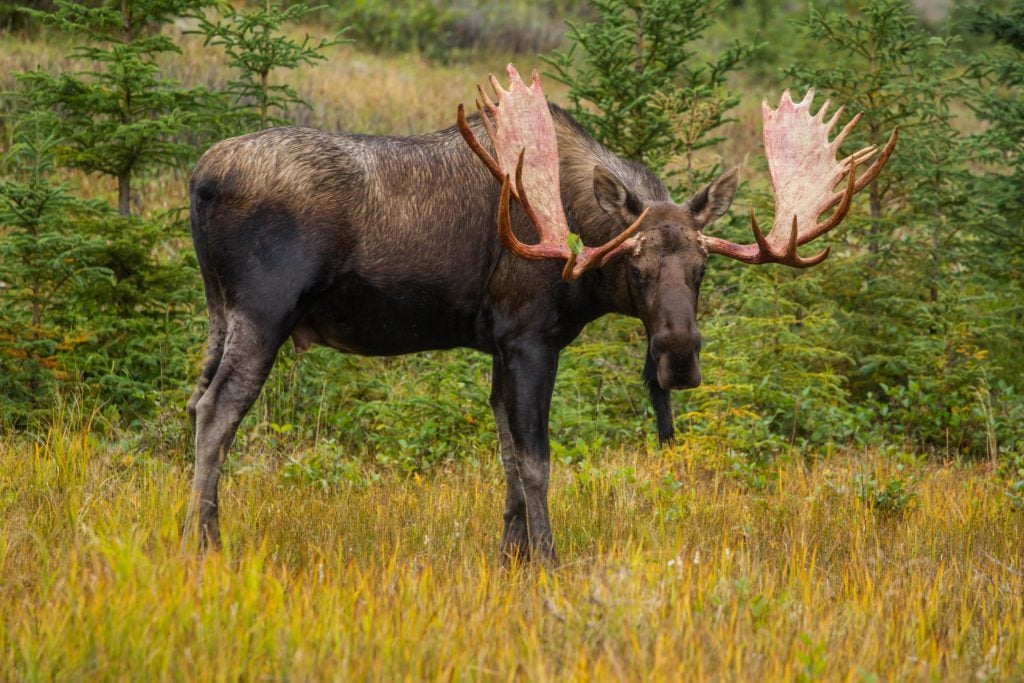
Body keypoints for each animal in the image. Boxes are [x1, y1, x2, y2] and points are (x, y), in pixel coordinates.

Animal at [186, 63, 897, 561]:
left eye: (702, 269)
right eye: (636, 268)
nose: (678, 358)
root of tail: (200, 178)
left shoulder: (498, 344)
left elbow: (505, 457)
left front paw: (510, 557)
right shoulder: (530, 336)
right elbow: (537, 459)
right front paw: (549, 559)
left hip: (219, 312)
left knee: (194, 402)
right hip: (264, 311)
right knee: (218, 413)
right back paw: (207, 543)